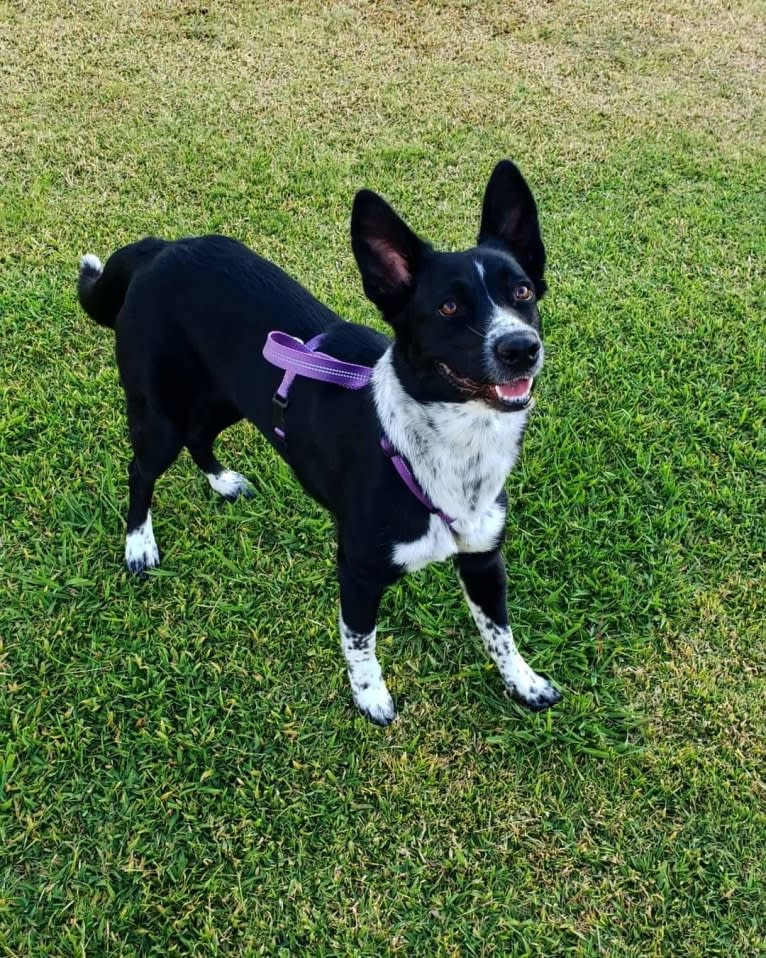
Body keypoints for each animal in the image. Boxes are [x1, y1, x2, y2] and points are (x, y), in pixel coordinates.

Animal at [79, 159, 564, 728]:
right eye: (448, 307)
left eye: (523, 292)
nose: (521, 348)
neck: (445, 450)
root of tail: (162, 248)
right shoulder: (357, 571)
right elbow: (360, 644)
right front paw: (370, 697)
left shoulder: (484, 559)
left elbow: (500, 635)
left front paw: (524, 684)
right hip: (159, 416)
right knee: (141, 471)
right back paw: (139, 544)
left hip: (228, 396)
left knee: (202, 435)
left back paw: (221, 481)